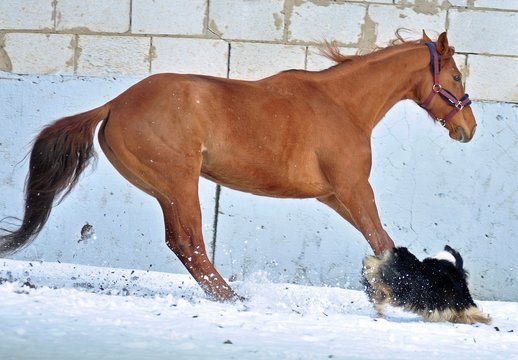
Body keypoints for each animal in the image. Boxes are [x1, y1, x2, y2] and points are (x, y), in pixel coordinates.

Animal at [1, 31, 480, 300]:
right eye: (456, 77)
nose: (469, 128)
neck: (342, 106)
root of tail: (116, 104)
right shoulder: (353, 187)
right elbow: (382, 242)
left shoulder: (334, 195)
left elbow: (382, 243)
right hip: (180, 183)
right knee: (190, 243)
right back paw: (233, 297)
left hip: (164, 189)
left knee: (182, 244)